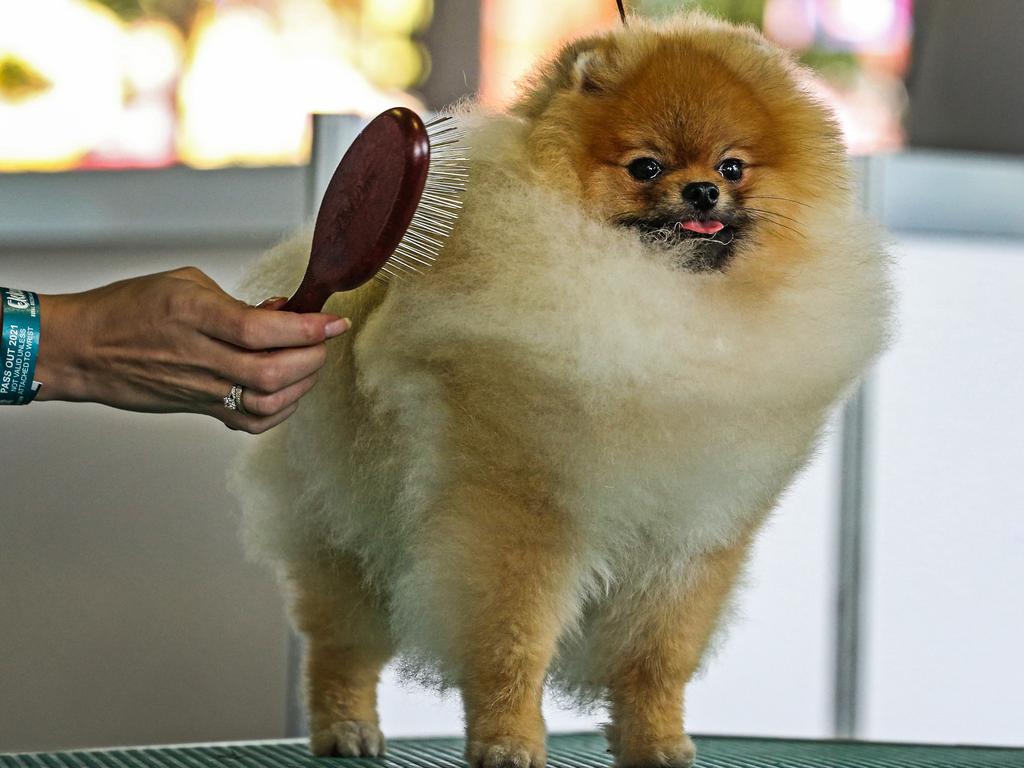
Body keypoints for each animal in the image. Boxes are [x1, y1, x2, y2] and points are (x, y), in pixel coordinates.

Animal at [230, 12, 888, 768]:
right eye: (646, 167)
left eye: (731, 167)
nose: (701, 192)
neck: (665, 297)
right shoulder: (523, 521)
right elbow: (510, 649)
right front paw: (508, 742)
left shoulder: (690, 543)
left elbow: (657, 661)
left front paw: (657, 740)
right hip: (346, 535)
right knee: (342, 643)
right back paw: (347, 728)